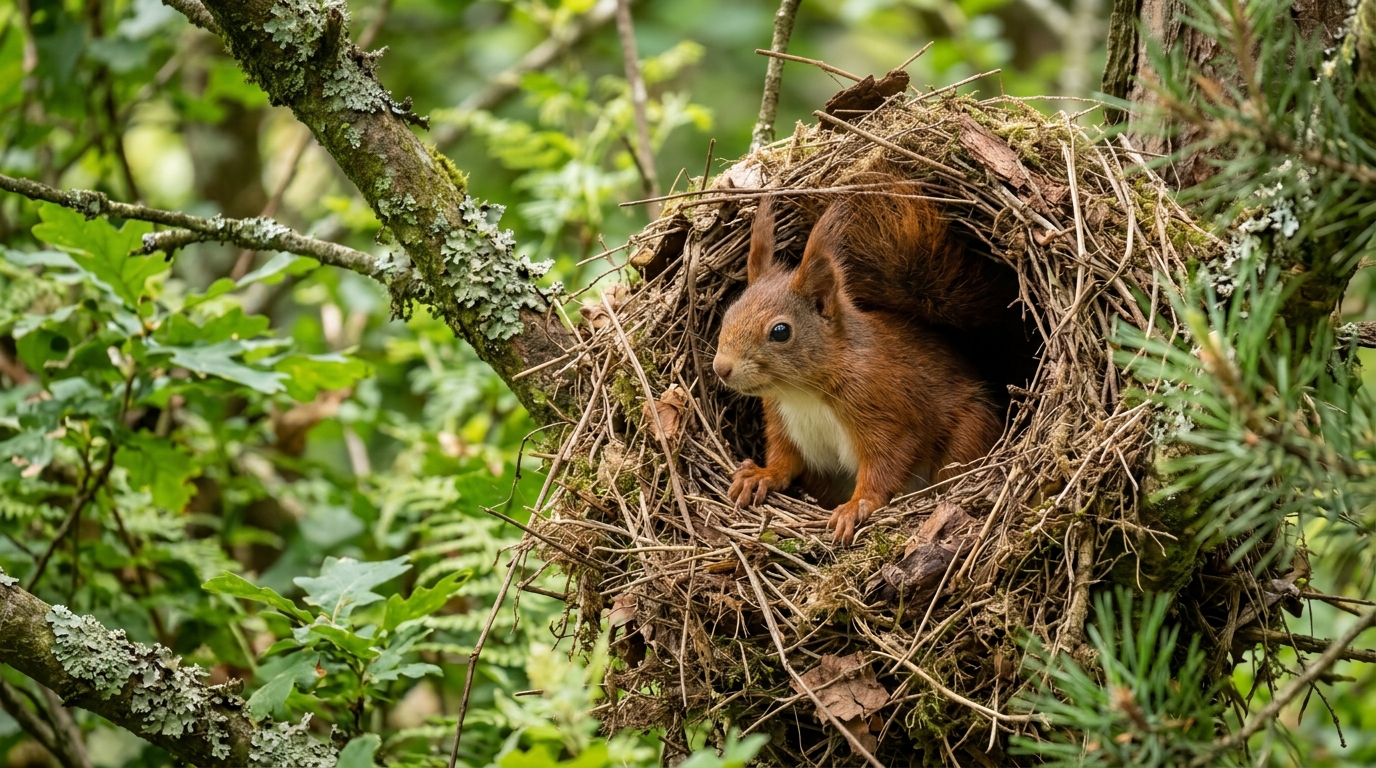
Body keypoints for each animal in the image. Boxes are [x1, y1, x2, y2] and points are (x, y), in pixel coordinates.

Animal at [711, 189, 1003, 546]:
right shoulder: (782, 421)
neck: (804, 393)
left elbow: (887, 461)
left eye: (780, 331)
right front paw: (761, 475)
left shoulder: (886, 409)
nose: (721, 368)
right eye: (728, 313)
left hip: (968, 434)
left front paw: (856, 505)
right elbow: (785, 460)